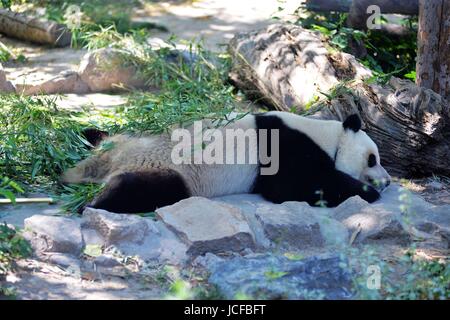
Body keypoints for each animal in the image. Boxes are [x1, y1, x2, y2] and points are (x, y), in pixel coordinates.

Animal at [61, 111, 392, 214]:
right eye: (372, 159)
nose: (388, 181)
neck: (328, 135)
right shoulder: (285, 146)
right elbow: (291, 185)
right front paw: (367, 191)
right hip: (172, 171)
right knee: (141, 188)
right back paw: (93, 203)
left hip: (128, 136)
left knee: (97, 135)